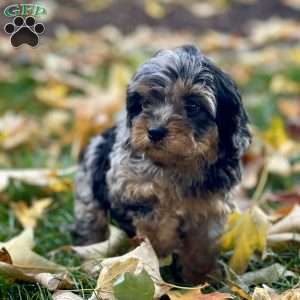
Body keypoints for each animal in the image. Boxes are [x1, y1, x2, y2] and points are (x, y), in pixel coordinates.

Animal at [74, 45, 251, 284]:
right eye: (145, 103)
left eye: (193, 106)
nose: (155, 131)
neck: (178, 165)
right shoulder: (134, 190)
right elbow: (155, 229)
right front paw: (155, 257)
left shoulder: (210, 207)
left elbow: (202, 247)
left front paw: (201, 280)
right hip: (89, 187)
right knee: (93, 226)